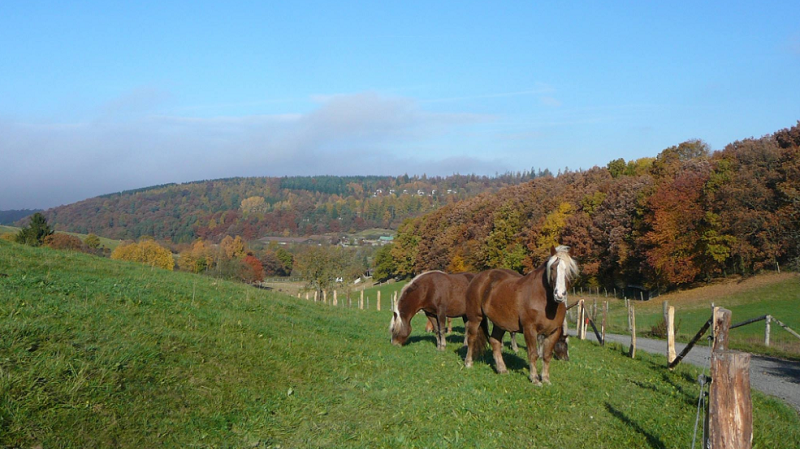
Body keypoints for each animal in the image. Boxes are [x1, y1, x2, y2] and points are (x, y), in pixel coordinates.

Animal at [466, 245, 580, 384]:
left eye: (570, 270)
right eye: (553, 268)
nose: (559, 295)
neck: (543, 300)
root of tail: (478, 278)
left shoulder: (553, 332)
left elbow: (547, 355)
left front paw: (546, 379)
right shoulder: (529, 330)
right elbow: (533, 354)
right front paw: (535, 379)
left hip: (500, 323)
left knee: (494, 341)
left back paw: (502, 369)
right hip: (475, 317)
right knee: (471, 338)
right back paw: (468, 363)